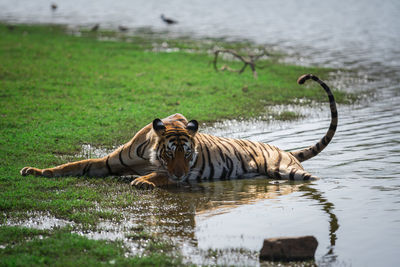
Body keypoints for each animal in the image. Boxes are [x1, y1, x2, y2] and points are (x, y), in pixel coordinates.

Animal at [21, 74, 338, 189]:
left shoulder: (184, 173)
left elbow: (158, 175)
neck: (149, 154)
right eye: (171, 152)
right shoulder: (105, 163)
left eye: (188, 155)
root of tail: (283, 150)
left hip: (285, 169)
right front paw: (35, 171)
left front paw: (142, 181)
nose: (181, 173)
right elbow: (72, 165)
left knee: (311, 177)